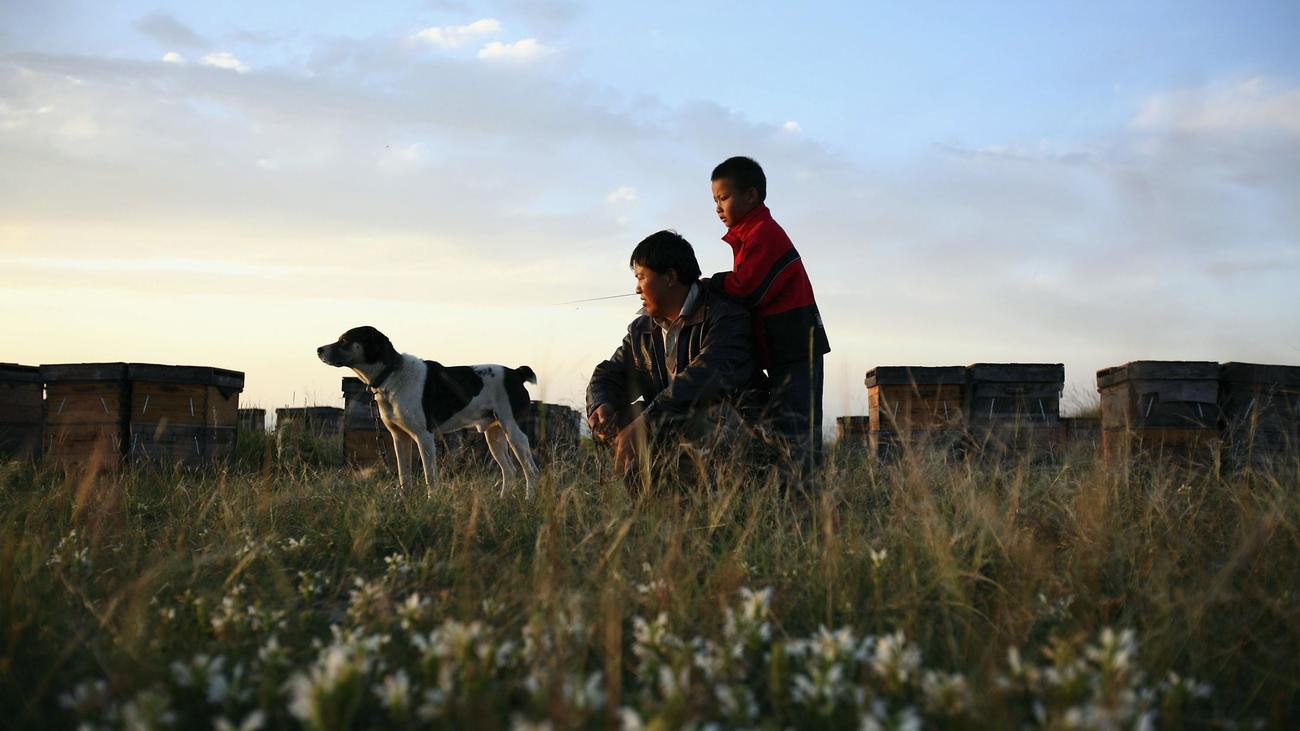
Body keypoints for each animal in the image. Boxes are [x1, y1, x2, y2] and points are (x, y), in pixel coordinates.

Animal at [317, 325, 540, 498]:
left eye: (344, 340)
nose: (318, 349)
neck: (391, 374)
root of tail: (516, 374)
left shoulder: (424, 436)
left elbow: (429, 477)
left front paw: (431, 500)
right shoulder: (400, 437)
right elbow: (404, 475)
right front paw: (403, 501)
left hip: (514, 432)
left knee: (531, 471)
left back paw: (529, 500)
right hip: (494, 435)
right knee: (510, 471)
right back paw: (502, 500)